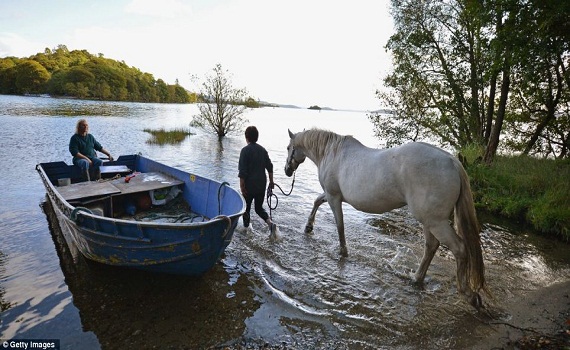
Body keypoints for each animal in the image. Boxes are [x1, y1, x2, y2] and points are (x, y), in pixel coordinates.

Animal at [284, 129, 484, 308]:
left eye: (288, 147)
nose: (287, 170)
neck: (331, 152)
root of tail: (452, 162)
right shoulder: (331, 195)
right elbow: (317, 201)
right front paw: (308, 226)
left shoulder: (334, 197)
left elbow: (340, 226)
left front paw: (343, 251)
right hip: (429, 220)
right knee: (431, 246)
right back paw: (417, 278)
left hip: (436, 222)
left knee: (459, 248)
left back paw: (468, 294)